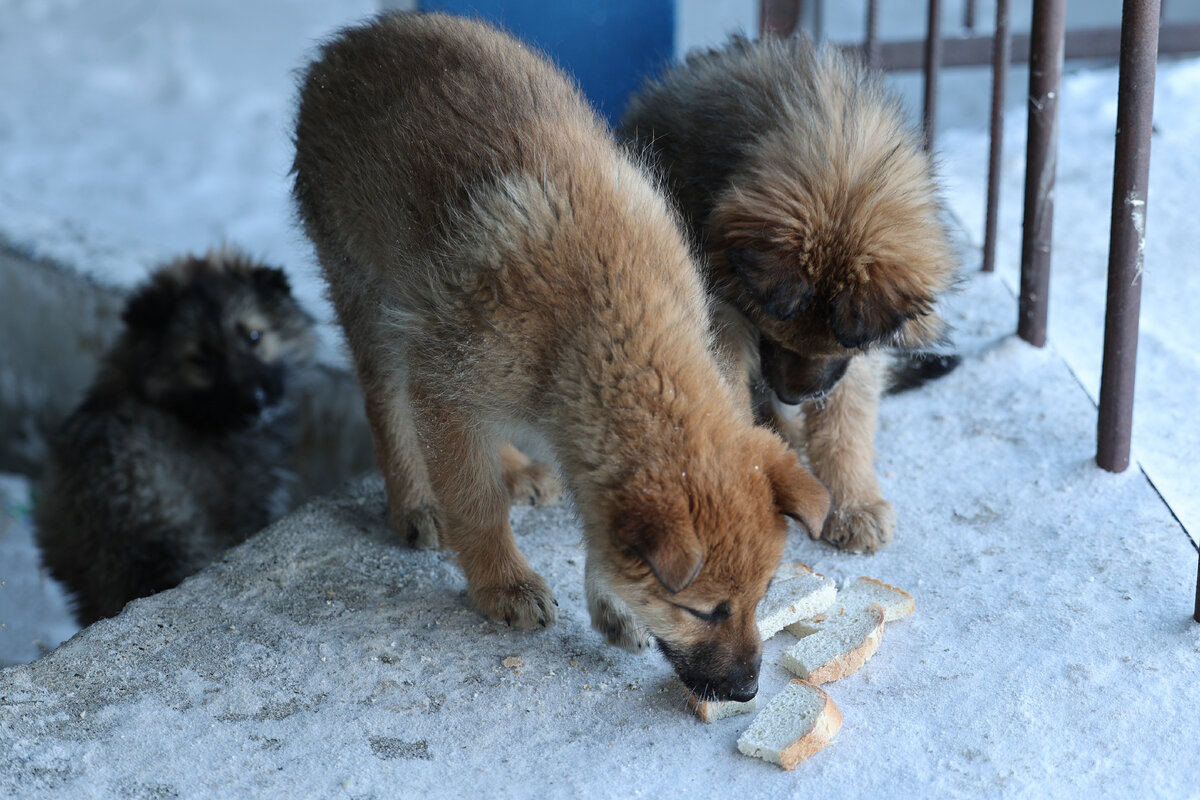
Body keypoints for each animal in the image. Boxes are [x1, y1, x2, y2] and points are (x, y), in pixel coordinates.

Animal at [295, 12, 830, 700]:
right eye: (704, 610)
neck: (607, 320)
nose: (747, 692)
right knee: (387, 402)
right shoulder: (447, 386)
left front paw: (611, 602)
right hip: (373, 302)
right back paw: (414, 500)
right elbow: (474, 501)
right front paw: (503, 583)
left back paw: (517, 467)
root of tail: (352, 39)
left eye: (763, 596)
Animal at [624, 34, 960, 554]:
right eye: (772, 332)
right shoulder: (724, 314)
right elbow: (728, 390)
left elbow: (846, 420)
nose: (790, 395)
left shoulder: (858, 350)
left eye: (833, 346)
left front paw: (854, 501)